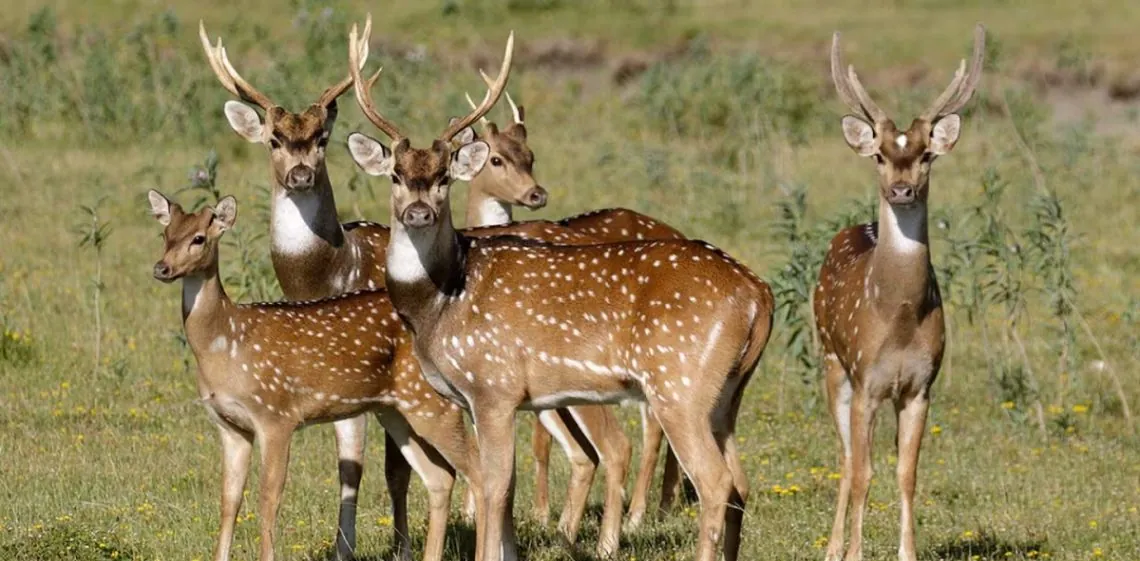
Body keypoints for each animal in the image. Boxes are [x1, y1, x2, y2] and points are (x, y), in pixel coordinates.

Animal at [147, 191, 485, 561]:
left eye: (198, 238)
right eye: (165, 234)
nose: (161, 268)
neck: (227, 341)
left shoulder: (276, 415)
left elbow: (269, 498)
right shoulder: (229, 426)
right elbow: (229, 500)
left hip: (433, 403)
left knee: (479, 472)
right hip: (396, 411)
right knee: (441, 477)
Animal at [198, 20, 483, 561]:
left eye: (322, 137)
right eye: (273, 139)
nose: (300, 174)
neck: (333, 270)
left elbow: (392, 470)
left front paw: (401, 547)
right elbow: (349, 466)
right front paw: (345, 549)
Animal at [452, 88, 692, 540]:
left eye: (531, 155)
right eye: (497, 159)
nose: (536, 194)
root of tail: (678, 231)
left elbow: (538, 441)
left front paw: (541, 514)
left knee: (654, 422)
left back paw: (637, 514)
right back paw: (665, 502)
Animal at [815, 24, 984, 561]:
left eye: (927, 154)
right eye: (880, 156)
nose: (903, 190)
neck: (900, 316)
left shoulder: (920, 387)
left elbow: (907, 474)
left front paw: (907, 552)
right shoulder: (866, 380)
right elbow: (864, 473)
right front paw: (853, 553)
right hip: (831, 361)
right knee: (845, 458)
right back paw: (831, 548)